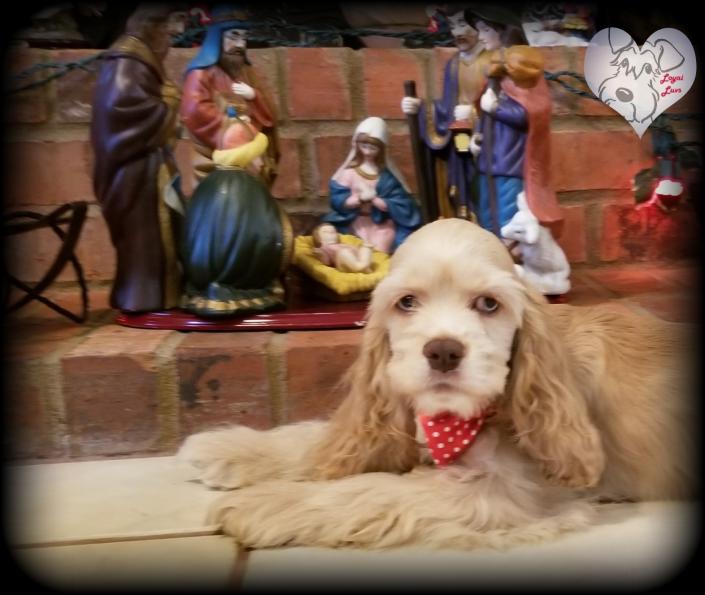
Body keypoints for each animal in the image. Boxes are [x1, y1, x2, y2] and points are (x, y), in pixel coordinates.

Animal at [179, 219, 696, 548]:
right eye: (407, 302)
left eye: (489, 304)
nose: (443, 351)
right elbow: (318, 438)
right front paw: (231, 450)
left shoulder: (505, 493)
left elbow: (374, 490)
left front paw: (265, 502)